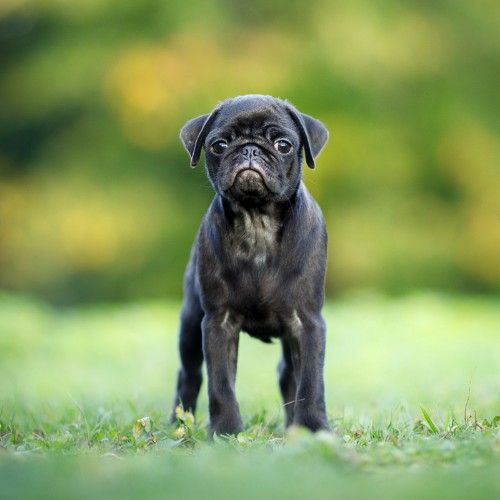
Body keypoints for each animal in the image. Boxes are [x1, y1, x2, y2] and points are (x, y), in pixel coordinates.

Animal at [170, 95, 330, 436]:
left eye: (283, 145)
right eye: (219, 145)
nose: (250, 149)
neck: (257, 223)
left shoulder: (307, 323)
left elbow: (311, 382)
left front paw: (313, 429)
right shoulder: (217, 324)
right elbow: (220, 385)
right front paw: (225, 432)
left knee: (289, 374)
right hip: (190, 322)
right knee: (189, 375)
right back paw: (179, 425)